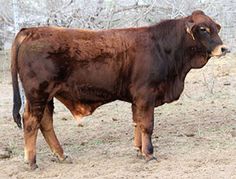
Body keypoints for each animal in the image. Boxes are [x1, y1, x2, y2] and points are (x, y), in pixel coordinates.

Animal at [11, 10, 229, 170]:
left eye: (216, 27)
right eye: (203, 29)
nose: (223, 48)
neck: (163, 47)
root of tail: (30, 30)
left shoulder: (137, 100)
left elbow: (137, 123)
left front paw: (139, 150)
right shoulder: (145, 95)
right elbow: (147, 125)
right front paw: (149, 153)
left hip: (46, 96)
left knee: (46, 123)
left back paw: (62, 155)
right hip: (38, 94)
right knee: (31, 122)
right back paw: (31, 162)